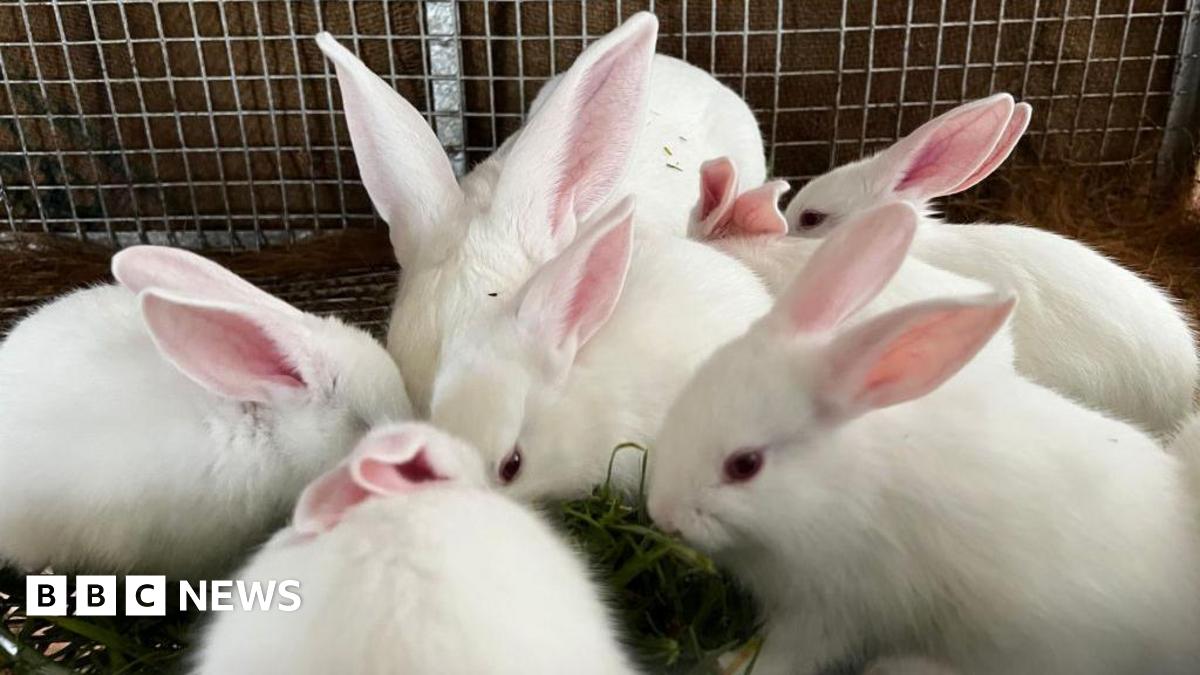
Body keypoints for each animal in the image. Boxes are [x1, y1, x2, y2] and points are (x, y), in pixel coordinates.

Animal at [646, 199, 1200, 674]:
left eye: (744, 465)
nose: (662, 515)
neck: (839, 484)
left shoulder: (834, 605)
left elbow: (789, 653)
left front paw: (728, 662)